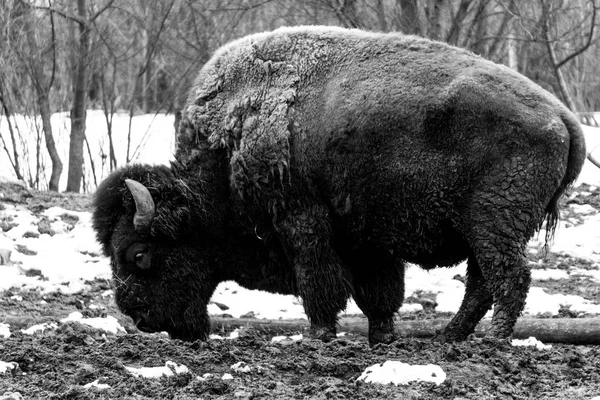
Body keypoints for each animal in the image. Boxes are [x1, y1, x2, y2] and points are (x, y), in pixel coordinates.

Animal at [94, 25, 584, 344]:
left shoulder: (303, 220)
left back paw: (491, 342)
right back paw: (449, 337)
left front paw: (318, 335)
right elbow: (379, 295)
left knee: (508, 278)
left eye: (138, 254)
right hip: (484, 228)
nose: (139, 318)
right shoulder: (367, 242)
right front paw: (382, 338)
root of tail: (562, 116)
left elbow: (320, 283)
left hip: (493, 222)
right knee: (483, 283)